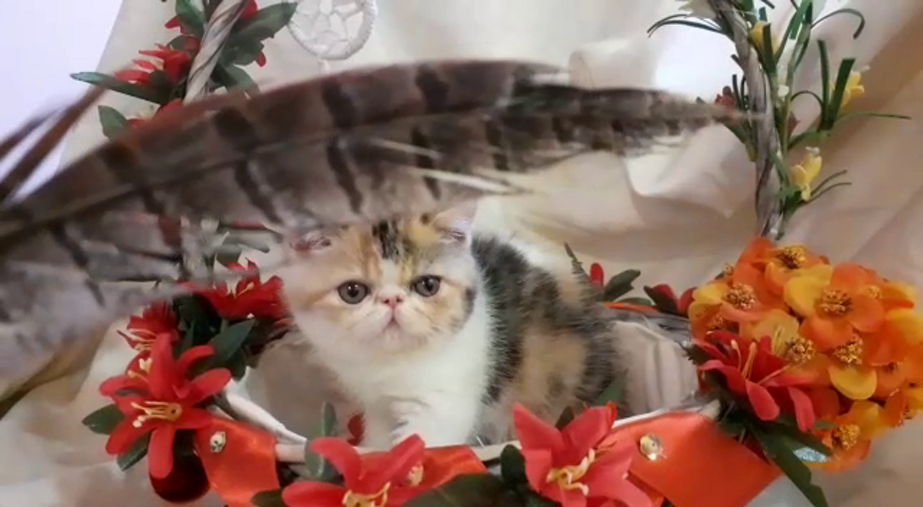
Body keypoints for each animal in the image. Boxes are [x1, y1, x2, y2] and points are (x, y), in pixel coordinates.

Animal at [278, 204, 617, 449]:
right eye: (352, 292)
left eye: (427, 285)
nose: (392, 299)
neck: (392, 365)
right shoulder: (377, 404)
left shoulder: (445, 402)